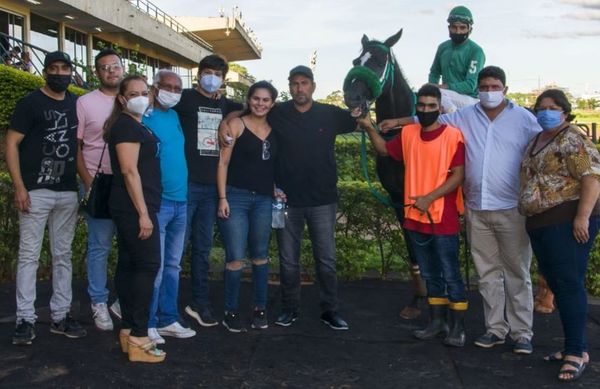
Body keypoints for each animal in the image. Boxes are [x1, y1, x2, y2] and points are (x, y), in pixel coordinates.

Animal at [342, 29, 426, 316]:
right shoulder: (398, 198)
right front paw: (417, 299)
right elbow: (413, 247)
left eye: (379, 63)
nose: (352, 98)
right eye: (356, 61)